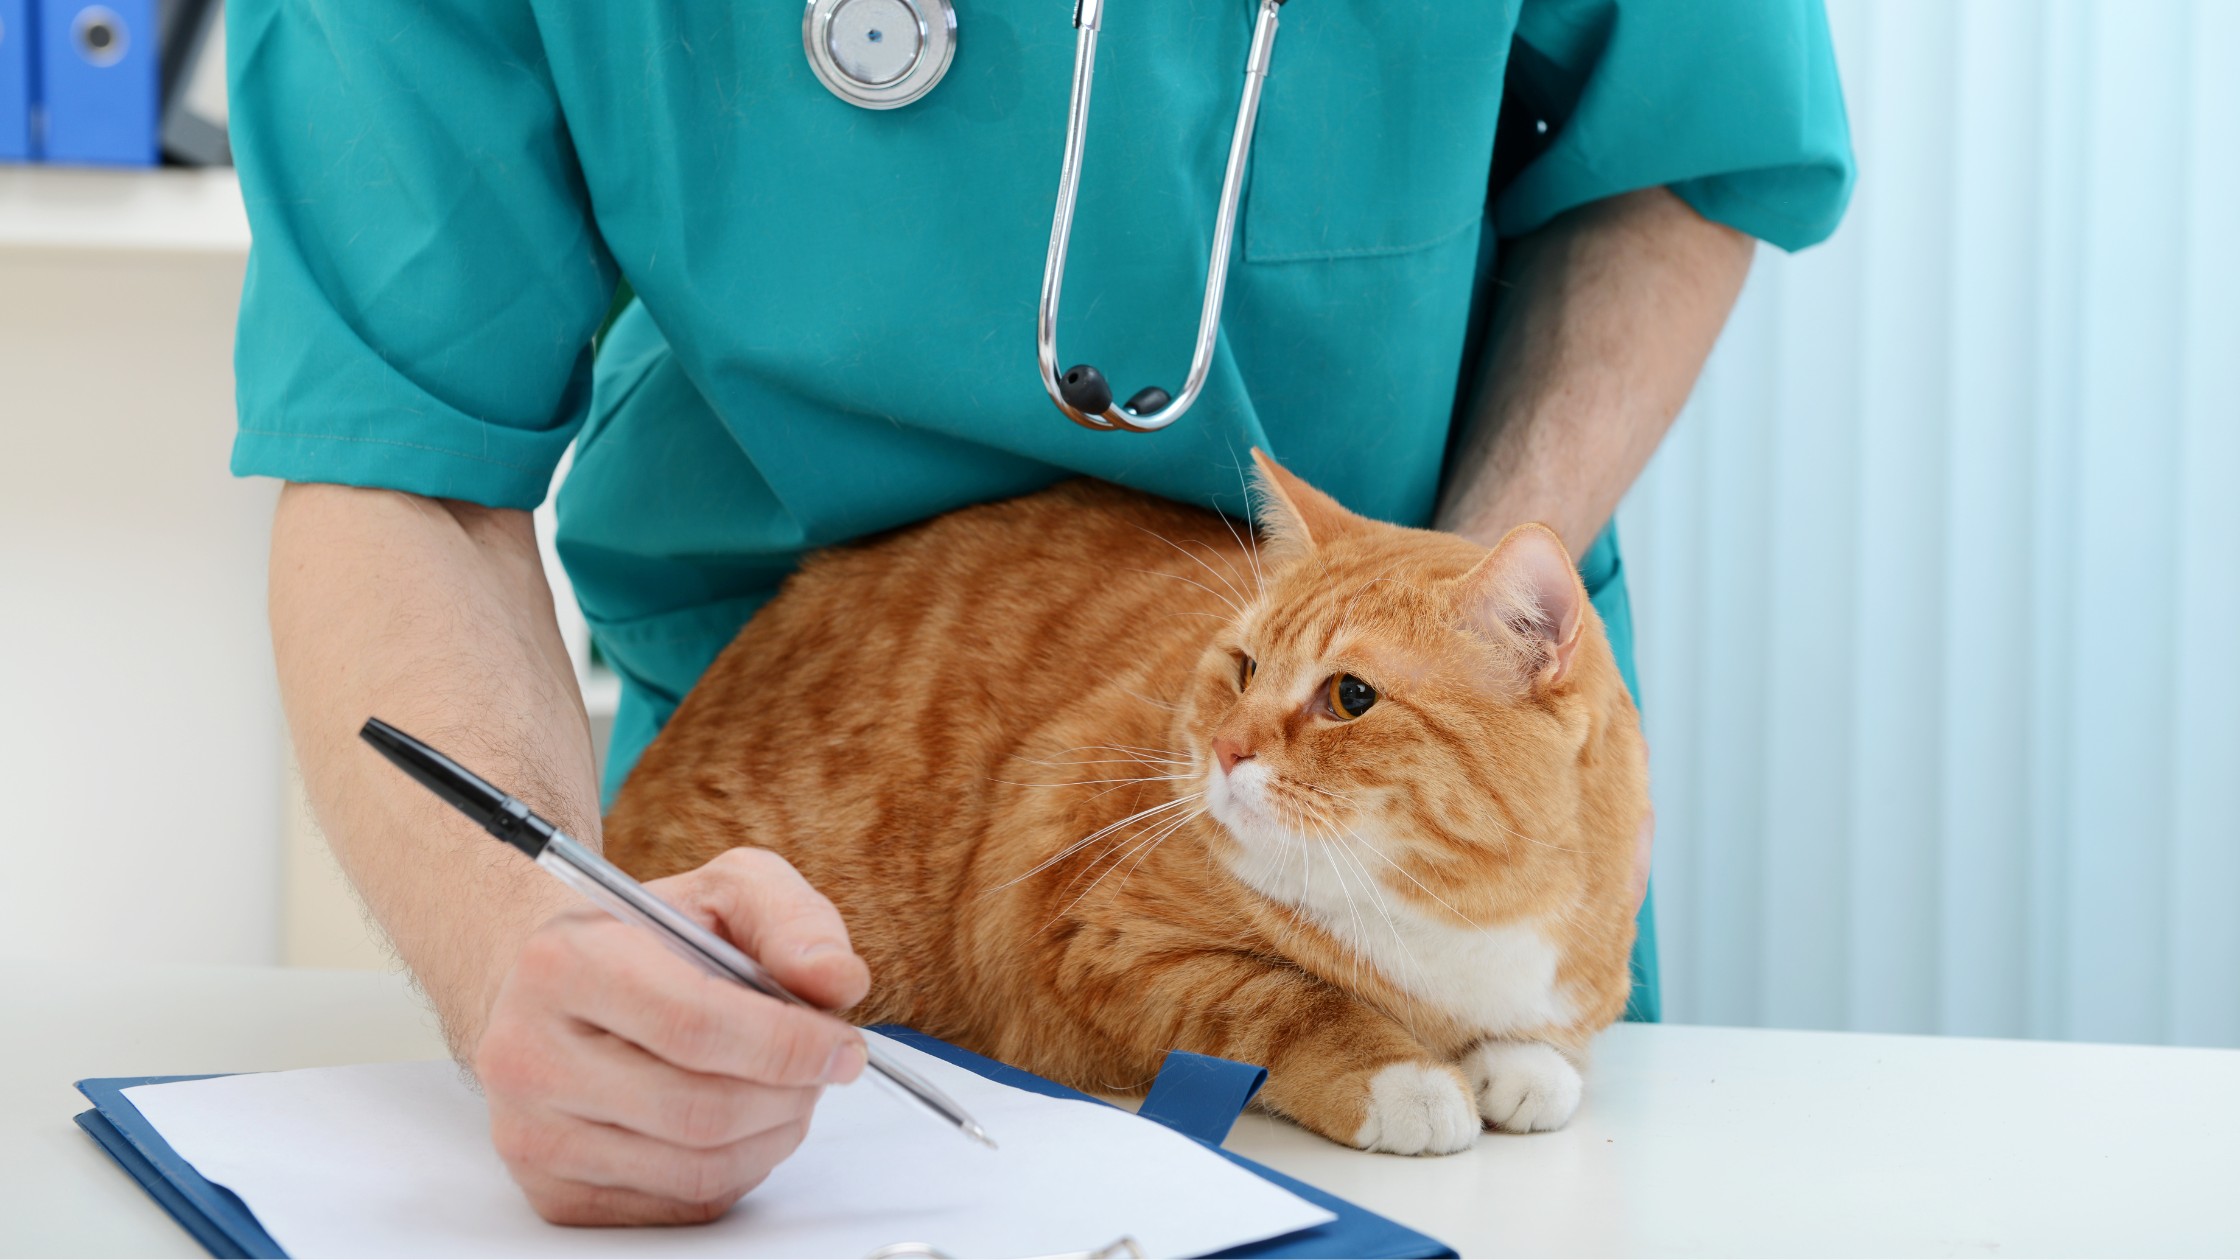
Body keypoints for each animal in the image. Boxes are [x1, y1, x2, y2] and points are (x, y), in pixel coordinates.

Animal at [604, 450, 1657, 1147]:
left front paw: (1524, 1064)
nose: (1227, 749)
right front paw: (1406, 1080)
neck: (1448, 925)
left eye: (1351, 697)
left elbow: (1548, 1045)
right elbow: (1284, 998)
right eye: (1245, 668)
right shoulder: (1084, 941)